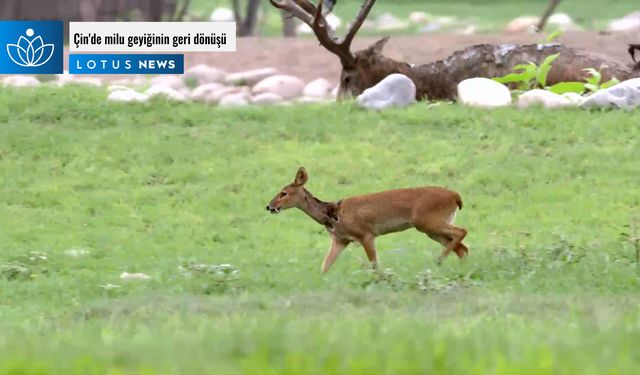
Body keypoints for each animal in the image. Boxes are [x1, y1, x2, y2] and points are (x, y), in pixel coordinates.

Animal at [264, 169, 470, 274]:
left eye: (284, 193)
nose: (269, 206)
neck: (333, 214)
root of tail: (456, 197)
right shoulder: (340, 240)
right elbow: (325, 266)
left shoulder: (367, 234)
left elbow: (374, 264)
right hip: (431, 228)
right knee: (462, 247)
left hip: (428, 222)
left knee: (462, 232)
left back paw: (438, 260)